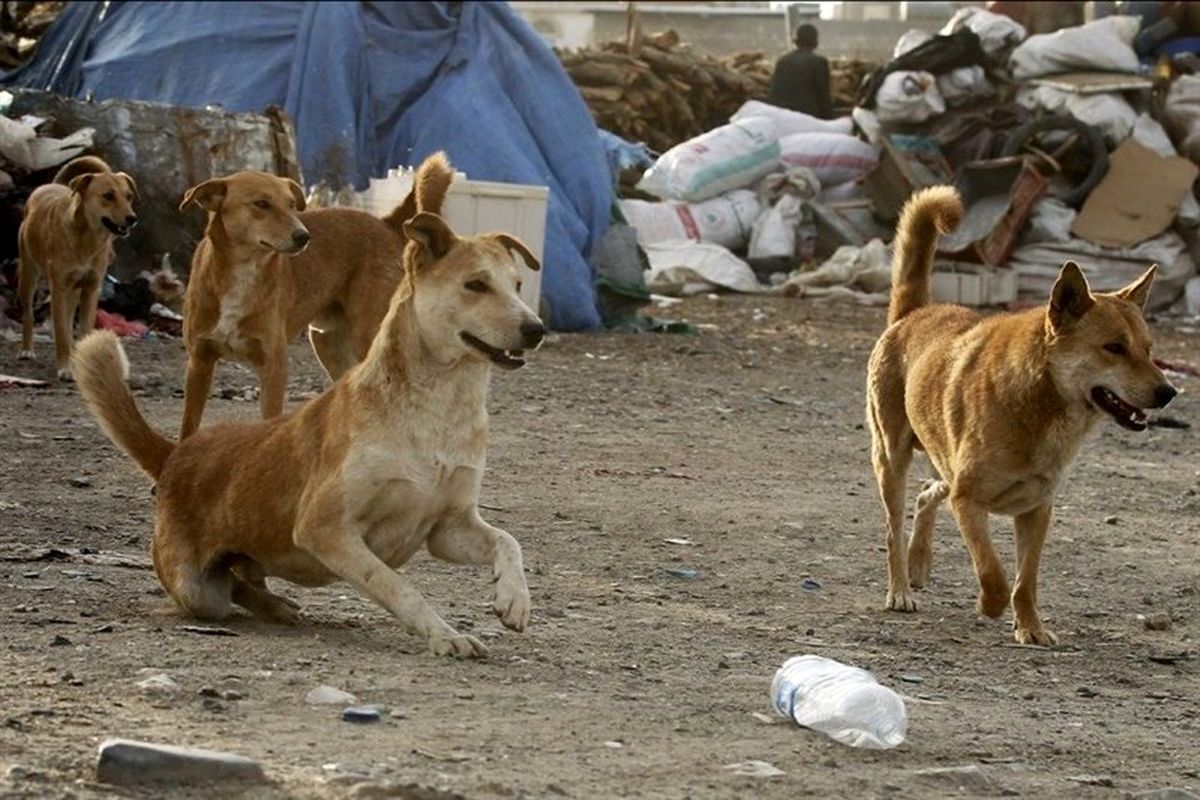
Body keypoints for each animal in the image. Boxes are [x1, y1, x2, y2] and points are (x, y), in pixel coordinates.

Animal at [16, 158, 138, 383]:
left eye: (129, 196)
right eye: (108, 196)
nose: (132, 218)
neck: (87, 239)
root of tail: (51, 185)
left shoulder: (91, 288)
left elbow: (83, 330)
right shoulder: (58, 289)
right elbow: (62, 333)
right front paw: (65, 368)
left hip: (73, 290)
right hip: (28, 274)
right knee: (28, 314)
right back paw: (27, 350)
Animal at [71, 205, 549, 657]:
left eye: (517, 285)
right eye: (476, 285)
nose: (537, 329)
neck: (441, 410)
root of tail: (176, 454)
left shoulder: (448, 528)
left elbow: (508, 541)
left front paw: (514, 599)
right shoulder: (325, 528)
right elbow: (399, 586)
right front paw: (444, 635)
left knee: (244, 581)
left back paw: (277, 605)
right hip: (197, 589)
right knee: (227, 590)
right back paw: (275, 605)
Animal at [177, 149, 453, 438]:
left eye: (290, 204)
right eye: (261, 204)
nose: (303, 236)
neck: (243, 271)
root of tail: (385, 223)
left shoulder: (273, 366)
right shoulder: (199, 362)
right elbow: (188, 427)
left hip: (367, 335)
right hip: (327, 344)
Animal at [868, 185, 1176, 642]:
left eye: (1149, 350)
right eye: (1114, 348)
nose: (1169, 392)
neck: (1041, 404)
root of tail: (913, 313)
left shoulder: (1036, 510)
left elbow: (1025, 580)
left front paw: (1030, 628)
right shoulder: (968, 501)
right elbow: (993, 574)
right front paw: (989, 605)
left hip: (943, 465)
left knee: (927, 492)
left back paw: (919, 562)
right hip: (892, 458)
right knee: (893, 528)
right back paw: (901, 589)